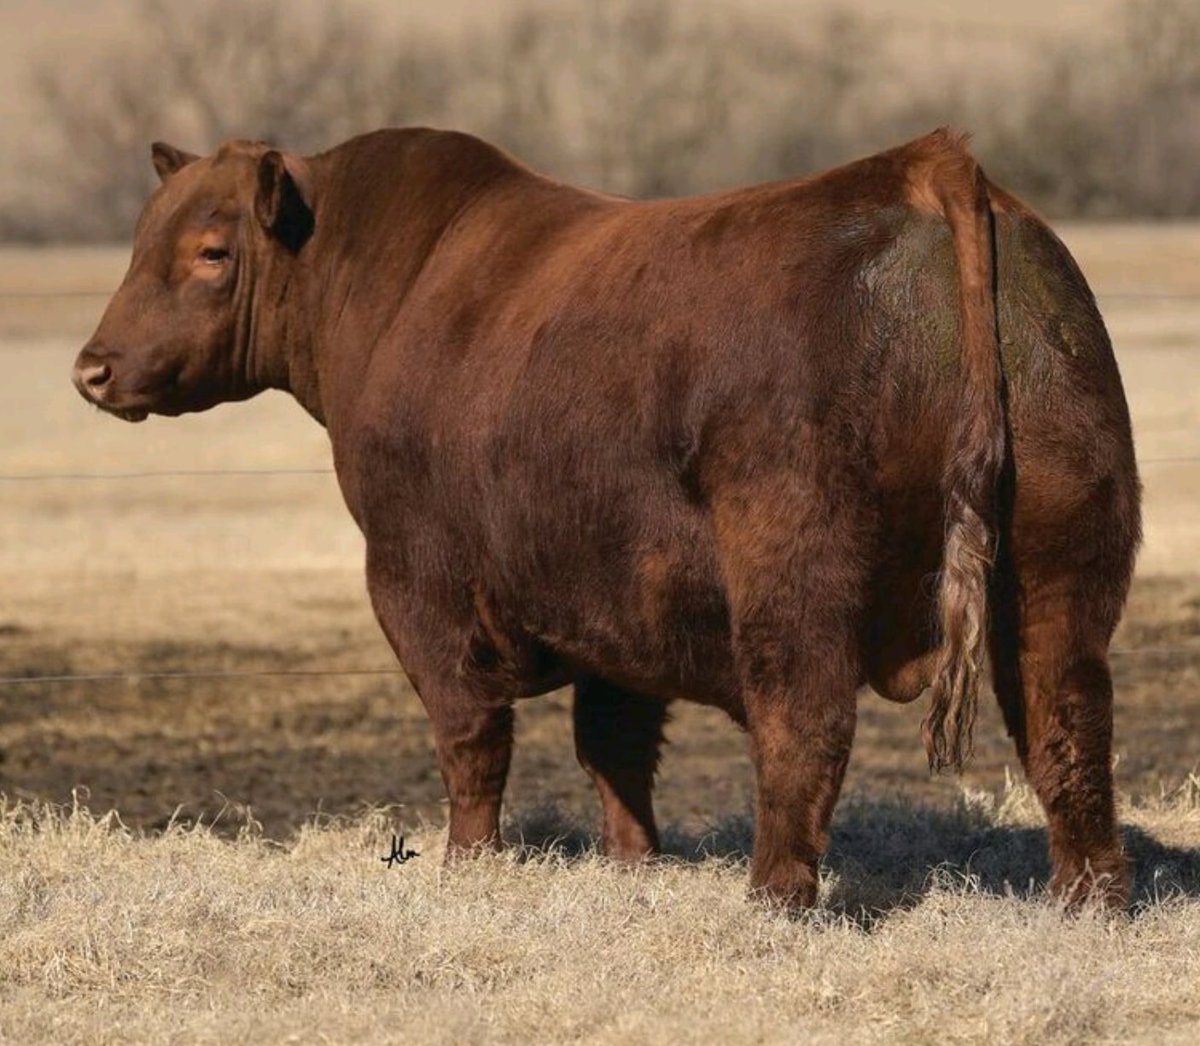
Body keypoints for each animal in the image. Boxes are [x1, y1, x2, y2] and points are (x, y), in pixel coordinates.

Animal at [72, 127, 1140, 910]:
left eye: (211, 253)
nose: (93, 369)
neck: (388, 287)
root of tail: (925, 166)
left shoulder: (414, 576)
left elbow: (473, 737)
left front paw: (469, 867)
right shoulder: (615, 594)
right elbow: (614, 741)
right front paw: (632, 865)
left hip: (795, 569)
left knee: (802, 721)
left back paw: (774, 900)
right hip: (1061, 560)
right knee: (1067, 722)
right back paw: (1090, 902)